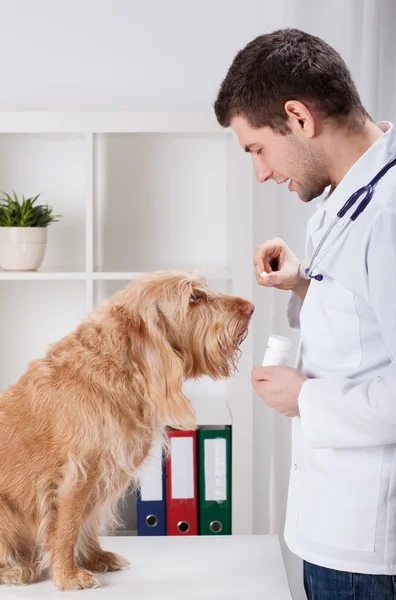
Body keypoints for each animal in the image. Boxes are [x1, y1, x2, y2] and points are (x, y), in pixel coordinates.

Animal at [0, 270, 254, 592]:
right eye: (194, 297)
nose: (251, 307)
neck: (122, 367)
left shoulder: (103, 474)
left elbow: (87, 522)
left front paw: (95, 556)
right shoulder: (78, 473)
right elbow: (68, 525)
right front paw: (68, 575)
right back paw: (14, 570)